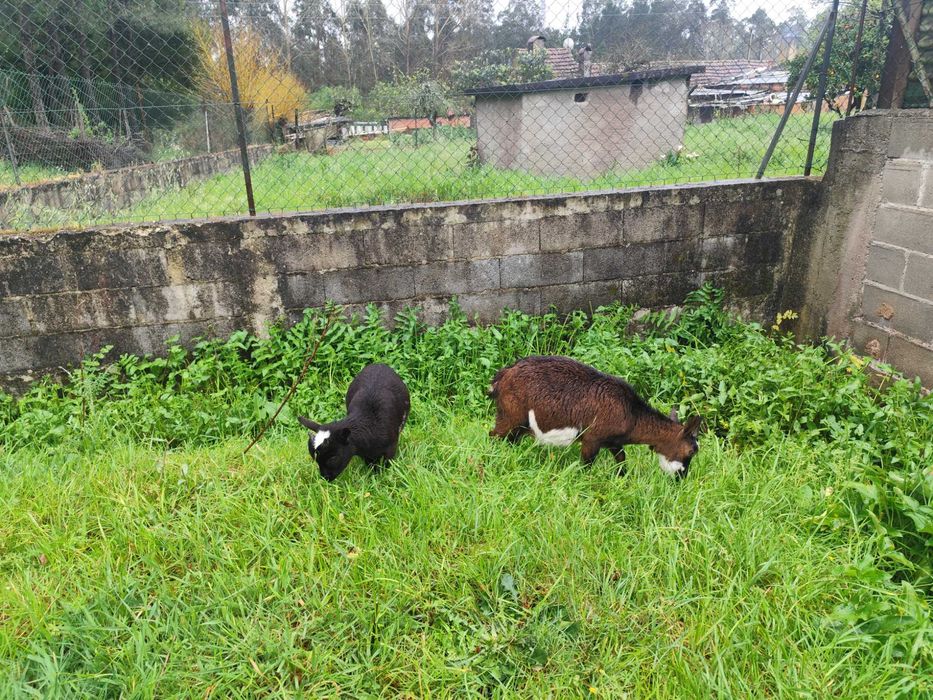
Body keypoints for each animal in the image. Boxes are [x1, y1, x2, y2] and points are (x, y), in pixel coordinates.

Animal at [488, 355, 701, 478]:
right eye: (691, 452)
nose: (681, 479)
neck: (632, 413)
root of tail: (503, 375)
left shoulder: (613, 442)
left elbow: (622, 459)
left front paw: (622, 478)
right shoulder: (592, 439)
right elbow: (586, 465)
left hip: (519, 425)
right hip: (510, 416)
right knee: (494, 436)